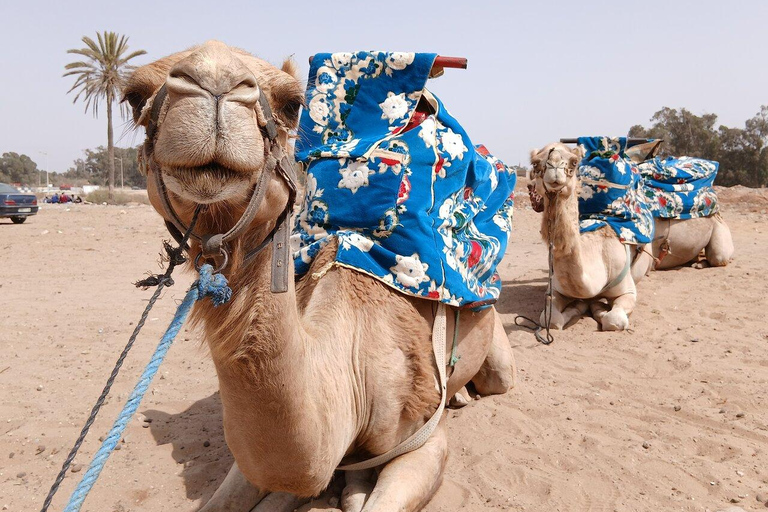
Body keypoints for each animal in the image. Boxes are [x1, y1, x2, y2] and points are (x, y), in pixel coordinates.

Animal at [528, 143, 654, 331]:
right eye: (535, 163)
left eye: (574, 162)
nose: (554, 165)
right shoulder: (555, 289)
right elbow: (550, 320)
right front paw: (579, 306)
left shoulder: (627, 292)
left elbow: (614, 320)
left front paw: (597, 307)